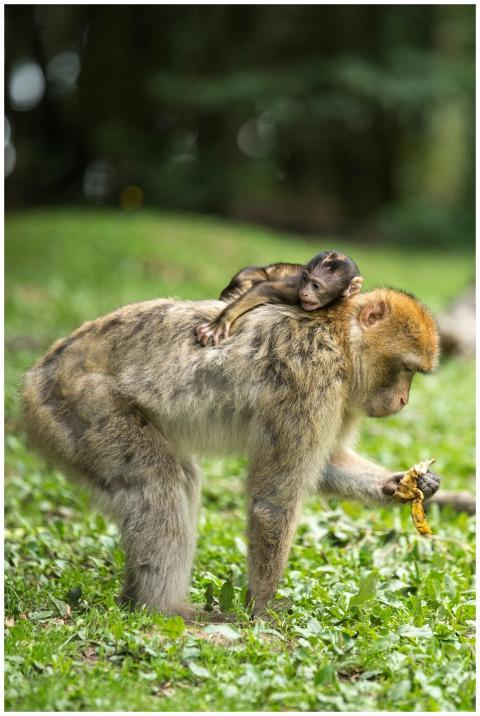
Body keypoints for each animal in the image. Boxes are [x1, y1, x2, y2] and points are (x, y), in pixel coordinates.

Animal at [21, 288, 440, 621]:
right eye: (405, 369)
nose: (403, 400)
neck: (338, 338)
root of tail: (35, 378)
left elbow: (325, 465)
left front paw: (404, 483)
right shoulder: (312, 379)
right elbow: (273, 501)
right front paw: (264, 609)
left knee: (178, 479)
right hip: (81, 408)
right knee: (159, 481)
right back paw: (162, 607)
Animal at [195, 250, 364, 346]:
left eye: (316, 286)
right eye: (304, 280)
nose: (304, 292)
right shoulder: (294, 291)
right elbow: (265, 288)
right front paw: (221, 321)